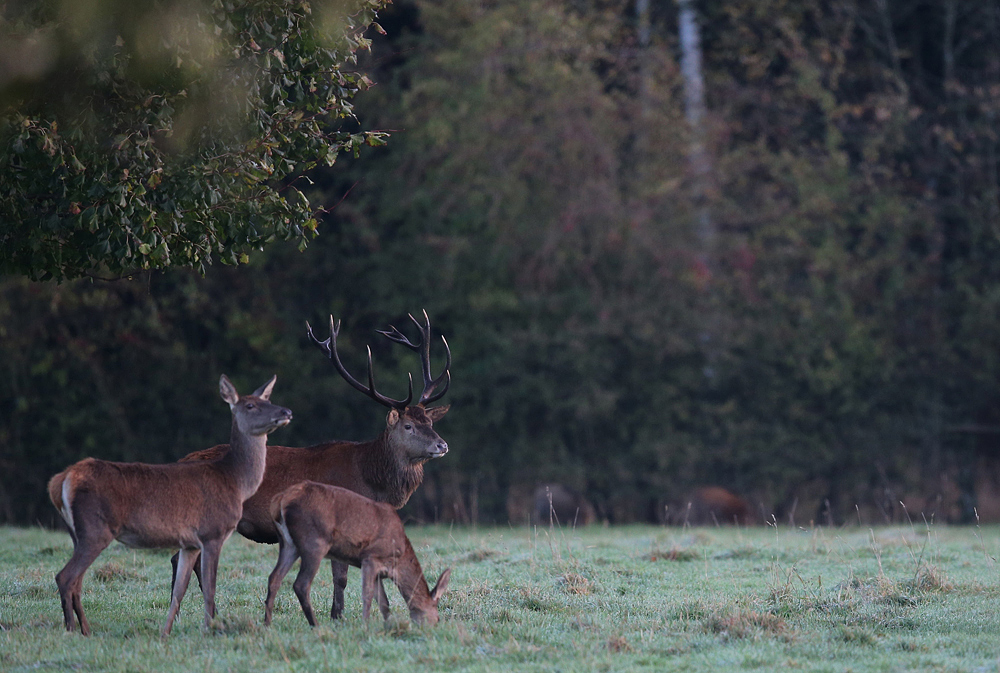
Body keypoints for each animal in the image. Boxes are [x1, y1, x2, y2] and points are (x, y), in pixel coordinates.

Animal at [48, 372, 292, 636]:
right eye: (250, 405)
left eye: (268, 400)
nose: (286, 411)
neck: (235, 482)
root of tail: (62, 480)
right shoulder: (212, 532)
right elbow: (210, 589)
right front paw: (209, 629)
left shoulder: (190, 543)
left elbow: (179, 591)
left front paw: (165, 633)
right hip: (95, 528)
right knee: (66, 577)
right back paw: (72, 630)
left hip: (78, 533)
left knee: (77, 580)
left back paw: (85, 629)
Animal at [266, 484, 454, 624]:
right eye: (438, 618)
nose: (432, 628)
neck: (398, 558)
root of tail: (280, 500)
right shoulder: (370, 557)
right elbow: (367, 595)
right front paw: (366, 625)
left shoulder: (379, 571)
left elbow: (384, 602)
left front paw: (389, 625)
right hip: (314, 541)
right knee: (301, 584)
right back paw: (316, 626)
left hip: (288, 543)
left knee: (274, 577)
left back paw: (267, 625)